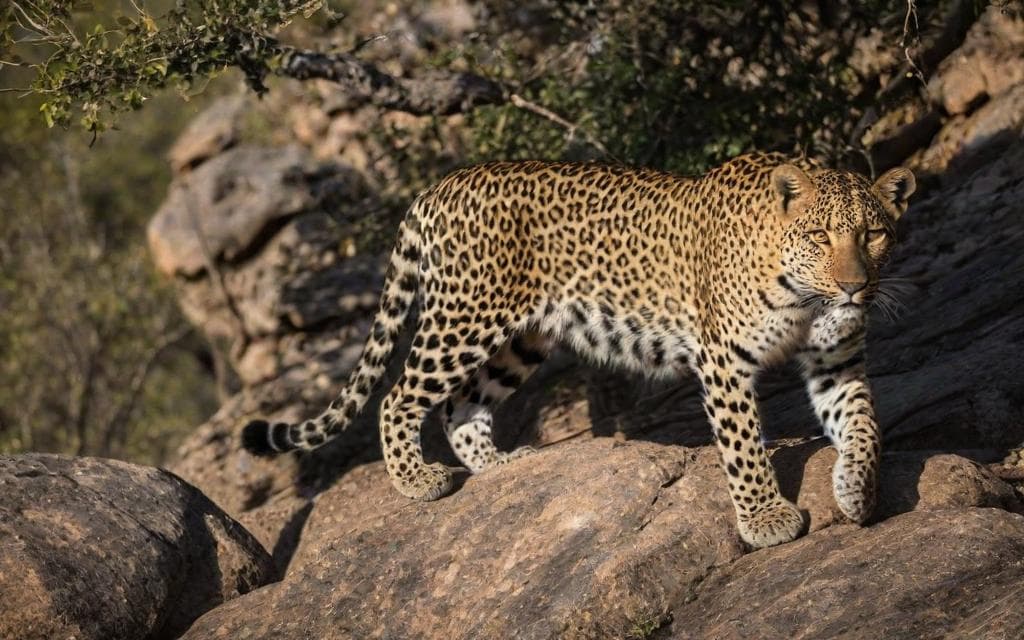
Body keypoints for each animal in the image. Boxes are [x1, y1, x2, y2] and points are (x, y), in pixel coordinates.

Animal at [242, 151, 915, 549]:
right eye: (820, 235)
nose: (855, 287)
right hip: (464, 316)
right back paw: (417, 480)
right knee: (400, 396)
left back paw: (502, 466)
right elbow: (744, 447)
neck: (803, 292)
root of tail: (439, 186)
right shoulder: (723, 363)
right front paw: (767, 520)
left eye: (874, 234)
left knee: (460, 406)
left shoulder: (837, 363)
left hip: (524, 337)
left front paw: (859, 494)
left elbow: (864, 425)